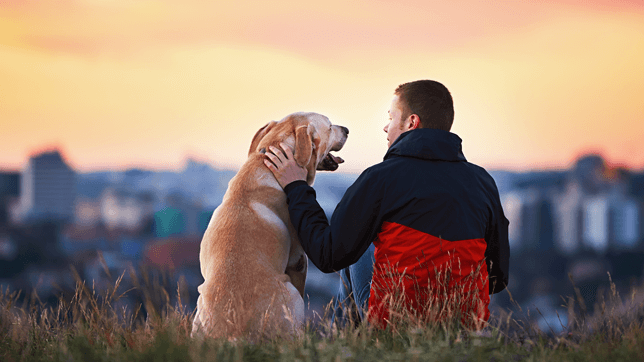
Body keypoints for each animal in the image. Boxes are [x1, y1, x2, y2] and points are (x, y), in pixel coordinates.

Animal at [192, 111, 348, 340]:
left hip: (198, 309)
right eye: (329, 126)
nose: (347, 130)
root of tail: (234, 334)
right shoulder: (299, 260)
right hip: (291, 294)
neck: (265, 164)